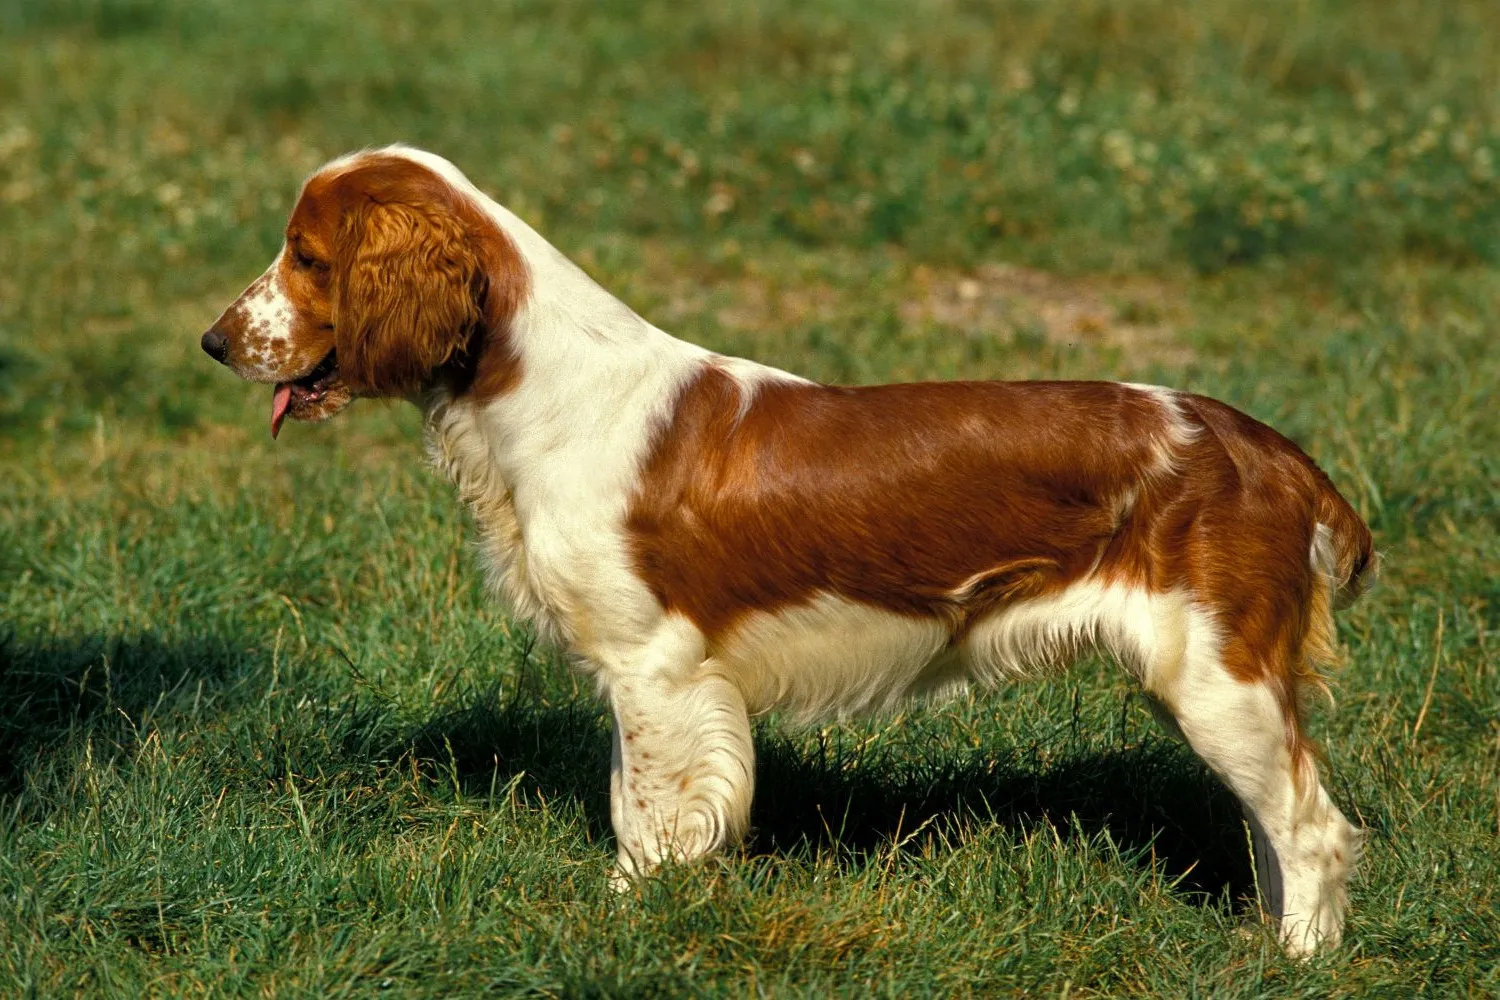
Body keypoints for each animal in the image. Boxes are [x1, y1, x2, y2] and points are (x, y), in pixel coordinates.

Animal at [205, 142, 1374, 953]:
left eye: (306, 256)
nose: (214, 340)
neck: (536, 383)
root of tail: (1271, 450)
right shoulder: (652, 676)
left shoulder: (655, 668)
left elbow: (646, 815)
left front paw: (626, 921)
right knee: (1274, 825)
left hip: (1219, 676)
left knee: (1312, 826)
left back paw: (1294, 963)